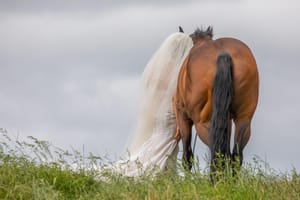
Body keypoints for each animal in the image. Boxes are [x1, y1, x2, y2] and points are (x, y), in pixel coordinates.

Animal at [175, 27, 258, 175]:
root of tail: (222, 54)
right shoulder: (227, 120)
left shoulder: (183, 116)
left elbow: (187, 156)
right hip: (244, 119)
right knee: (235, 155)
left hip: (203, 122)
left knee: (217, 152)